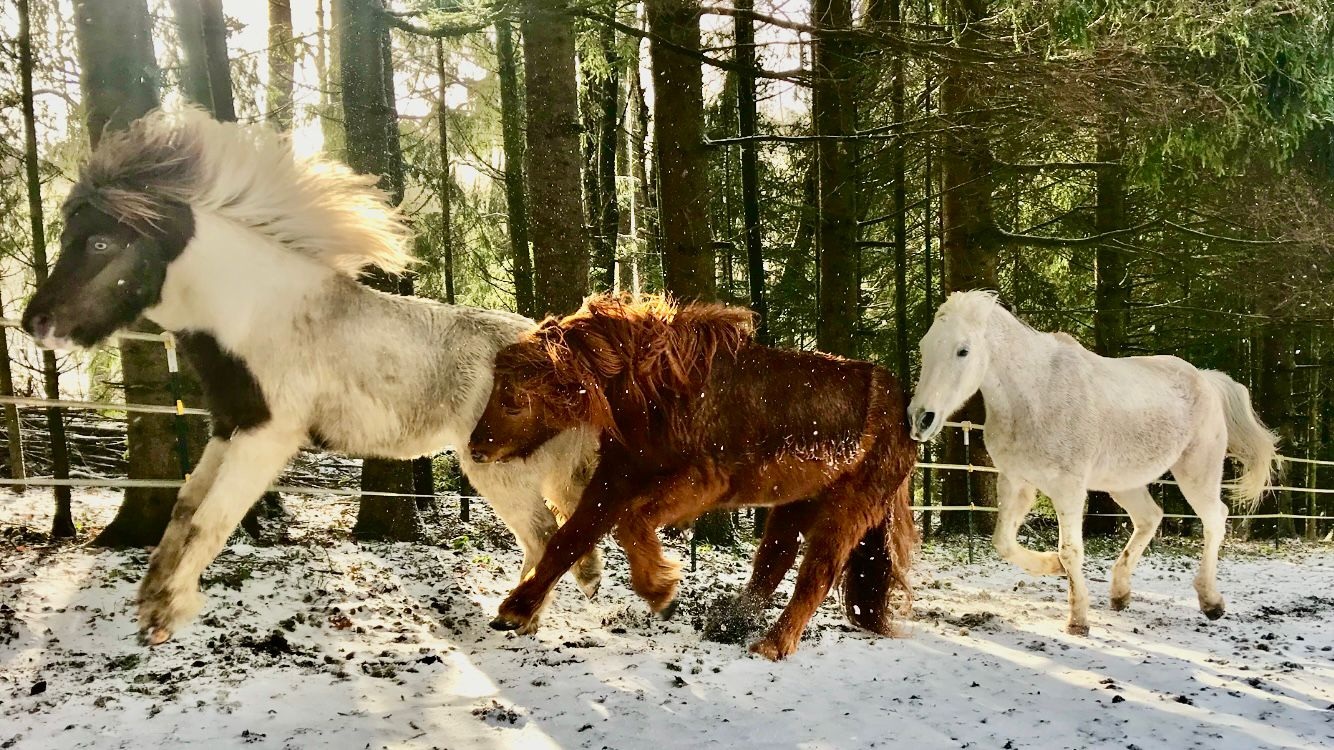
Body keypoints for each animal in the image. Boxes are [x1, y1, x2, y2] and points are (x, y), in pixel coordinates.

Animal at [20, 108, 602, 645]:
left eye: (99, 242)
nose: (36, 323)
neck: (255, 315)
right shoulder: (229, 426)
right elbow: (186, 506)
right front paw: (151, 600)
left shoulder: (268, 437)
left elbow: (212, 518)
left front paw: (167, 613)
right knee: (548, 534)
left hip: (497, 468)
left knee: (541, 532)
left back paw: (523, 618)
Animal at [466, 295, 918, 660]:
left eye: (513, 399)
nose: (476, 449)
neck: (657, 392)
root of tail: (906, 413)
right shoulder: (615, 479)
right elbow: (568, 540)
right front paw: (515, 610)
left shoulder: (699, 484)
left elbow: (630, 523)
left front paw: (660, 590)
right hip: (793, 505)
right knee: (772, 563)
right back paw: (731, 623)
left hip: (845, 511)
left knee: (814, 575)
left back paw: (772, 645)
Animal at [907, 291, 1279, 635]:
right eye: (924, 346)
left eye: (963, 350)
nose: (920, 419)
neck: (1035, 395)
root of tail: (1205, 379)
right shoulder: (1016, 482)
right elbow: (1005, 543)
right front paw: (1053, 567)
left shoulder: (1068, 488)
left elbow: (1071, 549)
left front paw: (1078, 620)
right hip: (1123, 482)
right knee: (1150, 517)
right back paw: (1120, 593)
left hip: (1197, 472)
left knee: (1215, 518)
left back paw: (1211, 602)